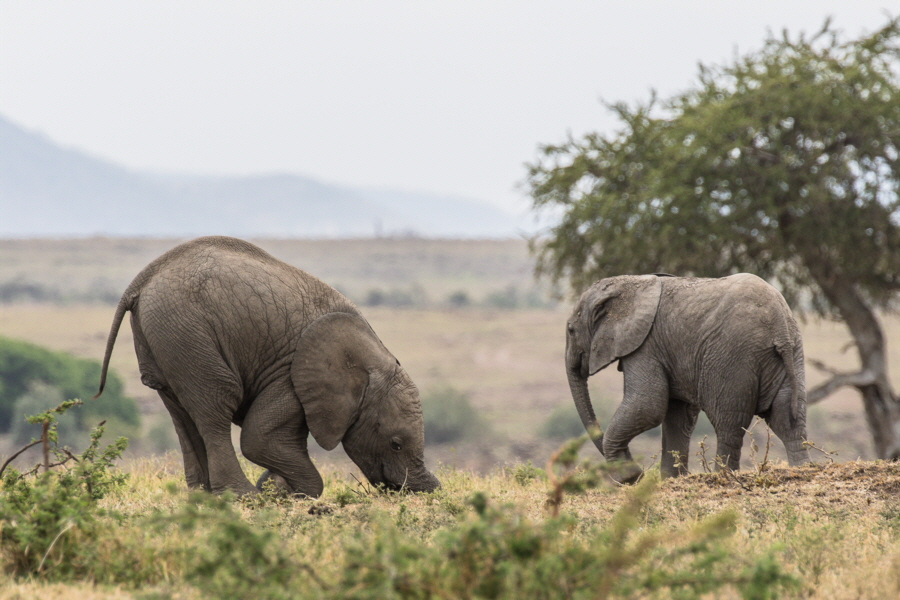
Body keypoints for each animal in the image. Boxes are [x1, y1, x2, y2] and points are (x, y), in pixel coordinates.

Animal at [94, 236, 440, 496]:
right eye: (396, 444)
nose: (431, 489)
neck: (370, 356)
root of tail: (142, 280)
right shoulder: (291, 375)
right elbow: (258, 438)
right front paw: (280, 491)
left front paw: (276, 487)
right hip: (188, 332)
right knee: (215, 405)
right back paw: (241, 495)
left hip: (166, 336)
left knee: (180, 412)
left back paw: (203, 496)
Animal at [568, 274, 812, 480]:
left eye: (570, 330)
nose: (639, 473)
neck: (626, 283)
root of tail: (780, 327)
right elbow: (678, 415)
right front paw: (669, 480)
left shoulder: (644, 345)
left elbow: (648, 406)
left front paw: (628, 478)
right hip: (792, 355)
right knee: (788, 419)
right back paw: (802, 468)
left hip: (732, 358)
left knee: (728, 424)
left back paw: (723, 475)